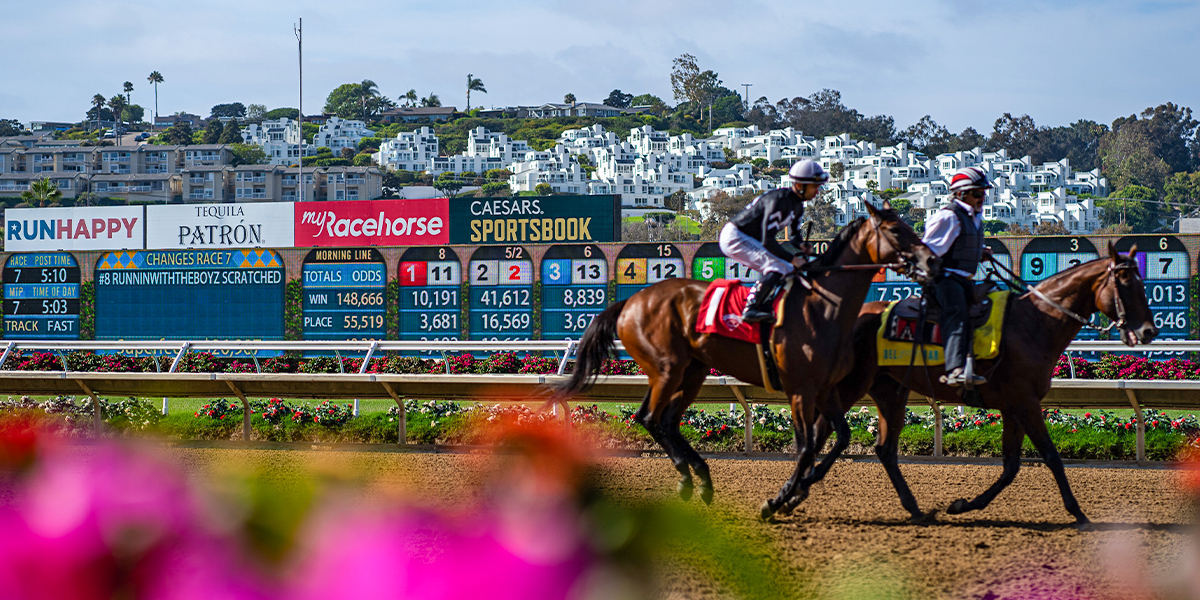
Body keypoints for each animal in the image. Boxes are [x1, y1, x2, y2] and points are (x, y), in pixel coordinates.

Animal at [556, 201, 940, 511]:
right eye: (895, 229)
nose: (930, 259)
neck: (822, 306)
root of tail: (630, 302)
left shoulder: (825, 389)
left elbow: (838, 437)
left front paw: (797, 489)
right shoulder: (800, 390)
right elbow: (806, 447)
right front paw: (781, 498)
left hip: (692, 371)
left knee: (667, 421)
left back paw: (702, 478)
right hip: (667, 368)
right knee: (650, 417)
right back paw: (687, 479)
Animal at [816, 242, 1152, 525]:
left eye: (1141, 285)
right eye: (1126, 284)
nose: (1149, 331)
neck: (1034, 323)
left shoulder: (1013, 407)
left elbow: (1011, 465)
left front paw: (963, 505)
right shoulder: (1025, 403)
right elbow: (1051, 456)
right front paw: (1077, 512)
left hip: (889, 390)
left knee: (883, 448)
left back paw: (913, 508)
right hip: (853, 383)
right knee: (828, 427)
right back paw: (811, 476)